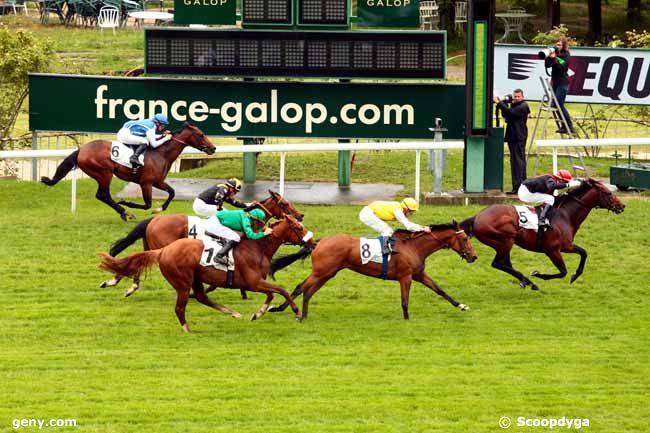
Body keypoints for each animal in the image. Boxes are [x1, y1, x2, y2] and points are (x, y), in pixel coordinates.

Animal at [41, 123, 216, 221]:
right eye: (201, 134)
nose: (213, 148)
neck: (161, 153)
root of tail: (81, 150)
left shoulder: (158, 181)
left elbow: (172, 192)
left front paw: (159, 209)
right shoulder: (146, 183)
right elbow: (147, 204)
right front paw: (127, 202)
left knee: (103, 195)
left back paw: (124, 212)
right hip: (104, 173)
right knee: (103, 195)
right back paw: (125, 212)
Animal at [97, 215, 316, 330]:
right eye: (298, 227)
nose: (313, 243)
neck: (257, 247)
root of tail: (164, 251)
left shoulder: (256, 283)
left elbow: (272, 294)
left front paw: (258, 313)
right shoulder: (253, 283)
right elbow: (281, 290)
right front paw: (296, 312)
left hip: (195, 279)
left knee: (201, 297)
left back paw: (232, 312)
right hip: (183, 282)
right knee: (181, 307)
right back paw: (187, 329)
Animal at [101, 189, 304, 296]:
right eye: (285, 204)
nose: (300, 215)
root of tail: (154, 220)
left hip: (150, 244)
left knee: (137, 261)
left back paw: (122, 284)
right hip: (160, 246)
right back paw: (119, 282)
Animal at [266, 223, 474, 320]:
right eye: (464, 239)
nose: (474, 256)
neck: (413, 247)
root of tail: (319, 242)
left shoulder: (418, 275)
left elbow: (440, 290)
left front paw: (461, 305)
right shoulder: (406, 277)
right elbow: (405, 301)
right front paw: (407, 319)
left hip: (328, 273)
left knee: (306, 290)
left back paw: (292, 311)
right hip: (322, 272)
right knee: (301, 287)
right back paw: (289, 311)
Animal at [456, 179, 624, 290]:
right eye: (608, 193)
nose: (622, 206)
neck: (565, 215)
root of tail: (477, 217)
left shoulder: (566, 246)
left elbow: (584, 253)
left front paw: (575, 275)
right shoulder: (553, 250)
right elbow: (563, 272)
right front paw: (538, 274)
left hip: (504, 244)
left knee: (504, 264)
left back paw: (526, 281)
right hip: (505, 241)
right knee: (497, 264)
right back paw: (530, 282)